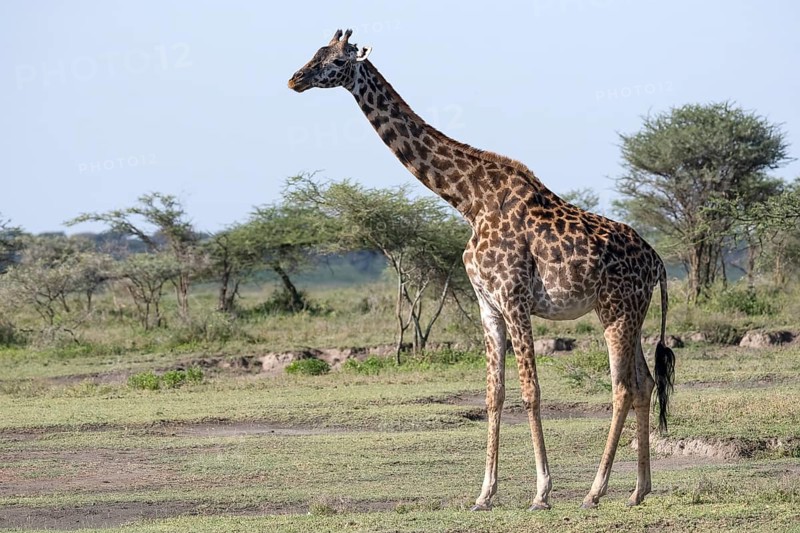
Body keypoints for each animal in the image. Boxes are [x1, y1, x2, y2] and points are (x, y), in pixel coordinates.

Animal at [288, 29, 676, 510]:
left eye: (337, 61)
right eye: (316, 52)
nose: (295, 79)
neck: (469, 200)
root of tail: (657, 261)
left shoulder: (514, 299)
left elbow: (531, 392)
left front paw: (542, 492)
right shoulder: (488, 305)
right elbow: (494, 394)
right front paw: (484, 494)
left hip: (616, 311)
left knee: (622, 386)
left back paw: (594, 491)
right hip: (630, 313)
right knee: (643, 383)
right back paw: (638, 490)